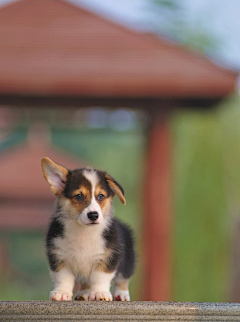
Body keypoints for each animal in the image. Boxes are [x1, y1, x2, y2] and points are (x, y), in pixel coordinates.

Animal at [41, 157, 135, 300]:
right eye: (79, 196)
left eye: (101, 196)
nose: (93, 215)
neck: (83, 231)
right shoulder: (58, 256)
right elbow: (63, 277)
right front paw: (61, 293)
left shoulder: (108, 257)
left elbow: (100, 277)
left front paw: (100, 293)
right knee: (86, 282)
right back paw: (84, 293)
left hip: (128, 260)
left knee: (122, 279)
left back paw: (121, 295)